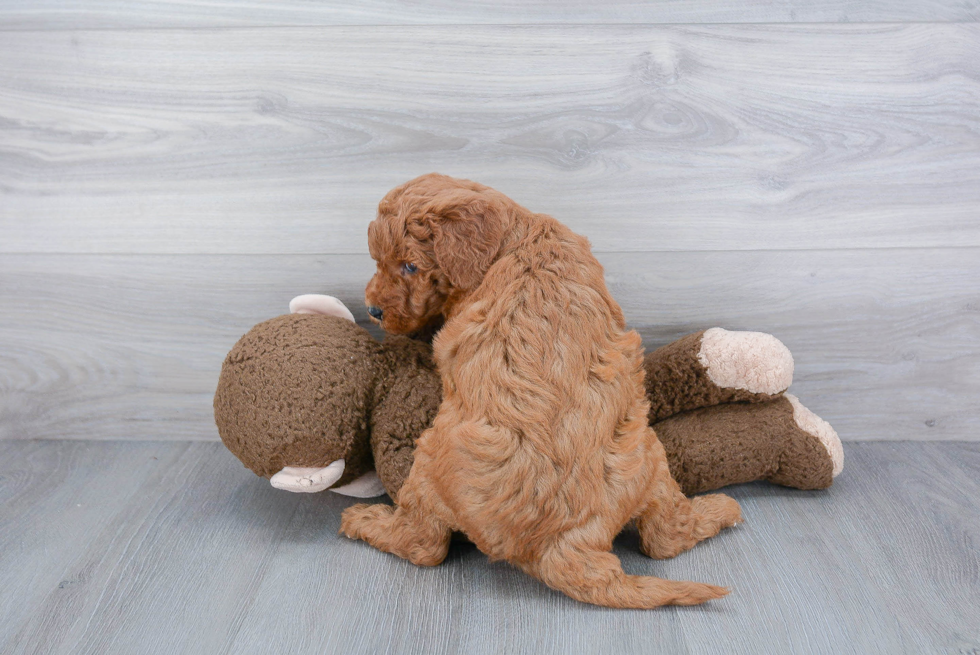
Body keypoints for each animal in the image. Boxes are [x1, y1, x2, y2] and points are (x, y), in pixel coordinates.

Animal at [340, 174, 740, 608]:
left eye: (410, 266)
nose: (372, 309)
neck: (517, 238)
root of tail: (563, 546)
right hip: (649, 458)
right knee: (663, 538)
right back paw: (721, 511)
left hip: (427, 465)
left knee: (423, 546)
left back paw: (365, 521)